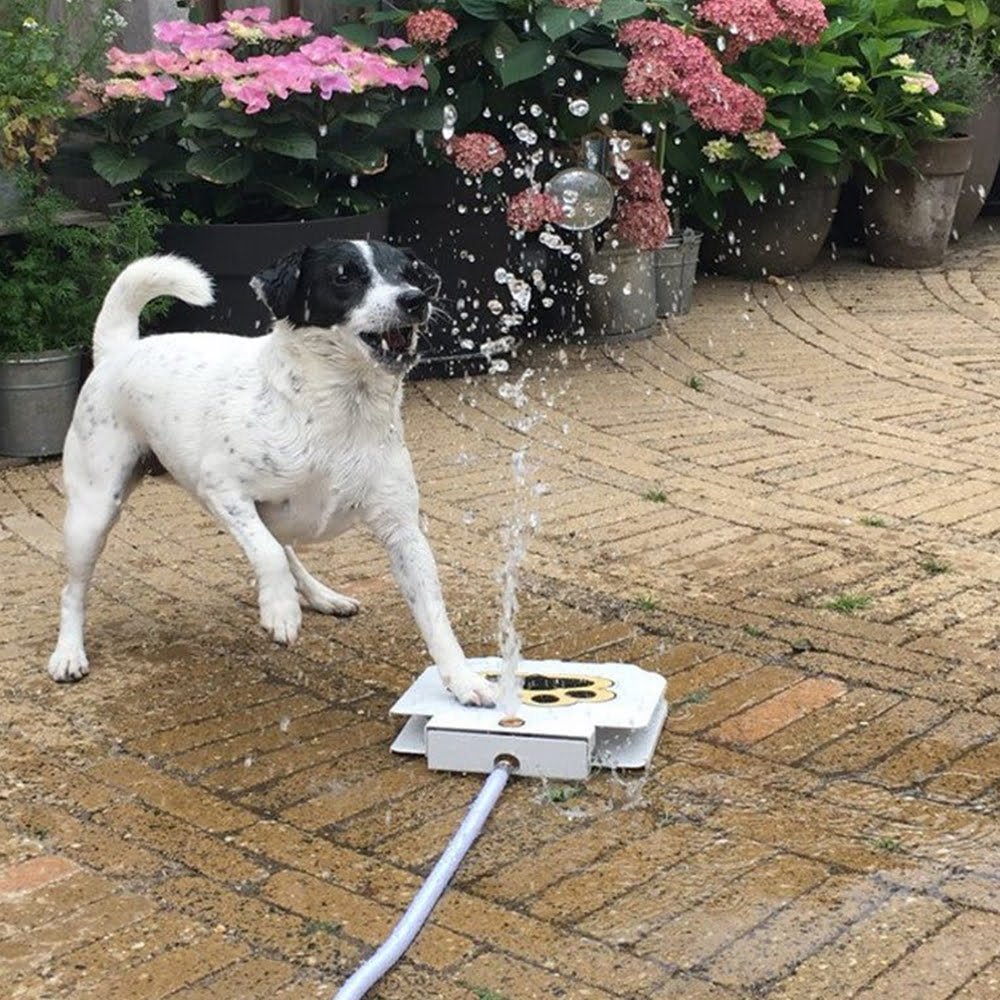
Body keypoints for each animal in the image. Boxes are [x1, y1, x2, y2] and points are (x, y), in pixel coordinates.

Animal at [47, 238, 500, 708]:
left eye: (411, 274)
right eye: (344, 276)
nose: (414, 300)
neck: (337, 413)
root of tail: (118, 350)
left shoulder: (403, 532)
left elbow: (435, 616)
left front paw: (463, 680)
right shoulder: (223, 489)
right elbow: (266, 553)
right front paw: (279, 609)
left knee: (286, 550)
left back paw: (323, 596)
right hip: (92, 514)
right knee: (72, 590)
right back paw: (69, 654)